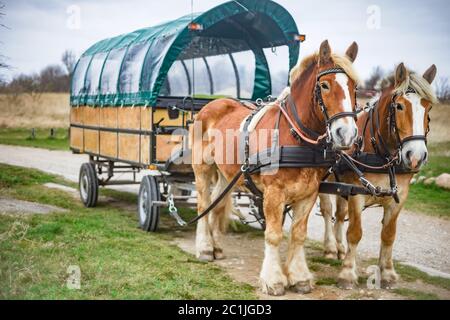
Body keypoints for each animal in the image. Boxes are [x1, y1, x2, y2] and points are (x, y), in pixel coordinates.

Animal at [192, 39, 360, 296]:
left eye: (354, 87)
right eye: (324, 85)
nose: (347, 133)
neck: (296, 137)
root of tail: (214, 103)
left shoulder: (308, 193)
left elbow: (298, 234)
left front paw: (299, 277)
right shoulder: (273, 194)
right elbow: (273, 235)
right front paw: (273, 280)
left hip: (226, 175)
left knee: (217, 205)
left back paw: (216, 247)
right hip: (202, 169)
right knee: (203, 204)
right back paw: (203, 248)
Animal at [318, 63, 438, 290]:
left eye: (428, 108)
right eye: (399, 106)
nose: (416, 156)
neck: (382, 153)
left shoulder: (399, 196)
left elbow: (389, 235)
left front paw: (388, 273)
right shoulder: (357, 193)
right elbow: (355, 233)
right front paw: (347, 274)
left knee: (339, 213)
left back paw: (339, 248)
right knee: (328, 210)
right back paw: (329, 248)